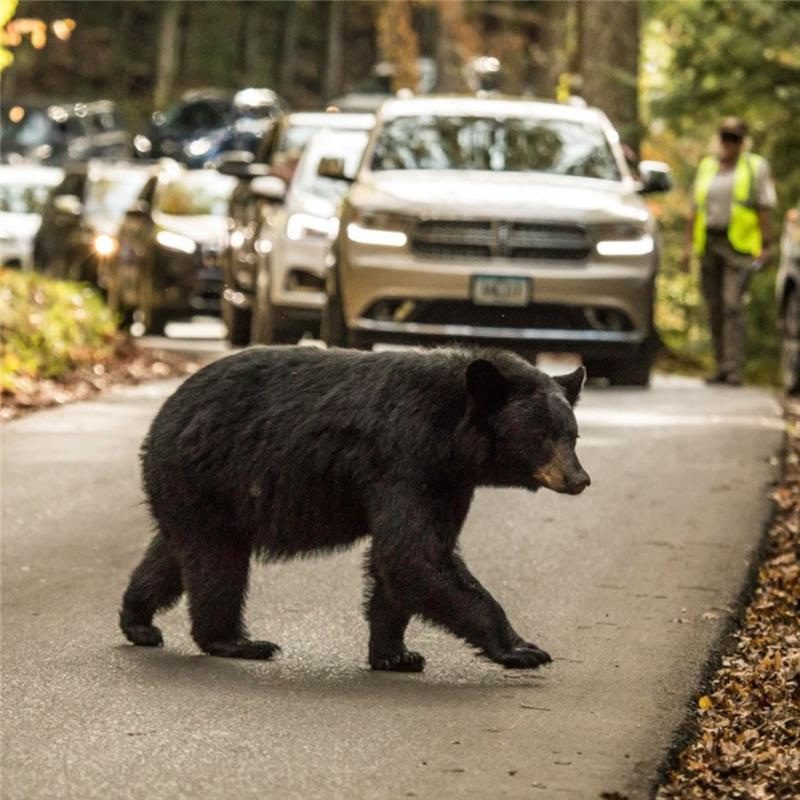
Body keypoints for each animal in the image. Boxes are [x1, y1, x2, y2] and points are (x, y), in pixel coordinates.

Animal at [120, 346, 590, 671]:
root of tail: (162, 417)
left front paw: (395, 654)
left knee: (174, 552)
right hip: (208, 475)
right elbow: (412, 555)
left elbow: (406, 560)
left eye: (573, 434)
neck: (450, 433)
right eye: (542, 435)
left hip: (196, 493)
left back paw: (138, 620)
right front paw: (522, 648)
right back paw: (238, 642)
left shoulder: (447, 481)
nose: (579, 479)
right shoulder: (404, 460)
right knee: (217, 563)